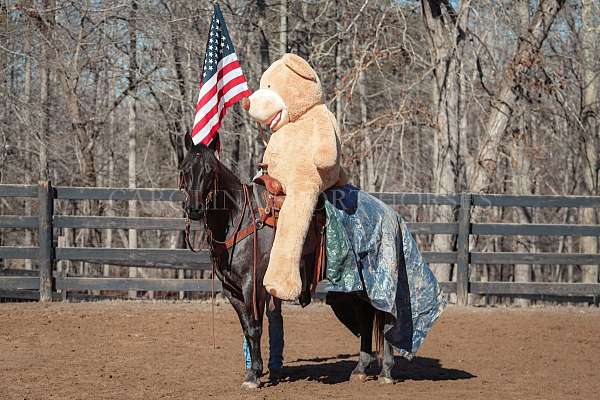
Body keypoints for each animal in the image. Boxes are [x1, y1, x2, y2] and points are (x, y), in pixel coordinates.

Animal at [178, 140, 394, 388]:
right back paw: (360, 370)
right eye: (184, 170)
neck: (239, 218)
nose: (194, 209)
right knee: (366, 317)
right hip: (355, 284)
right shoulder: (232, 289)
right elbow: (246, 327)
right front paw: (253, 371)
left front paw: (253, 376)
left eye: (210, 171)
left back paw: (386, 373)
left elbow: (255, 328)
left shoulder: (253, 285)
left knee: (385, 315)